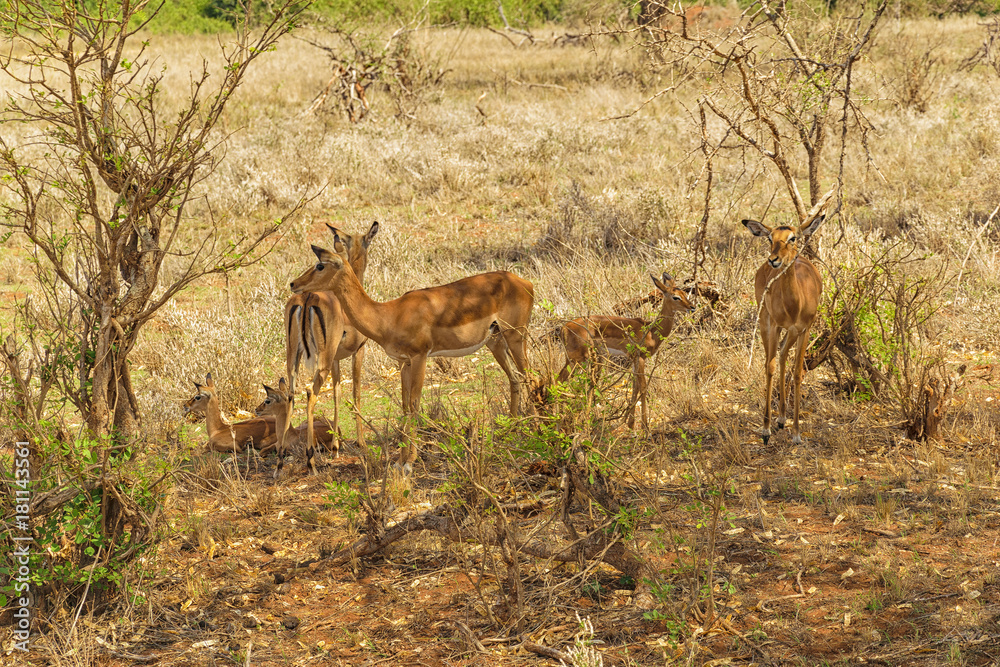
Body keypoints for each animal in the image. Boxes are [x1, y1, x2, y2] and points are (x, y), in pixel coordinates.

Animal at [282, 221, 379, 476]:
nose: (294, 283)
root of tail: (306, 299)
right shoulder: (358, 351)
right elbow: (355, 392)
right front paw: (360, 442)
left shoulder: (336, 359)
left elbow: (337, 394)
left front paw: (336, 446)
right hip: (320, 363)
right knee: (310, 394)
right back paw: (311, 460)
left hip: (293, 358)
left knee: (290, 394)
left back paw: (280, 458)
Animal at [289, 226, 534, 473]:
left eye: (320, 265)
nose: (293, 284)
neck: (388, 314)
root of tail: (523, 282)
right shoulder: (404, 361)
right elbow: (406, 406)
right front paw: (400, 460)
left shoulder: (419, 357)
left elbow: (415, 405)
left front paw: (409, 462)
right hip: (496, 341)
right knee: (515, 378)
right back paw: (511, 431)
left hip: (516, 336)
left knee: (529, 376)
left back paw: (533, 430)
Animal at [557, 273, 694, 431]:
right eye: (675, 297)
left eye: (684, 293)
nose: (692, 307)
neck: (650, 332)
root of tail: (564, 328)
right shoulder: (640, 358)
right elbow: (643, 387)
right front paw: (645, 427)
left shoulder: (634, 359)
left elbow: (634, 386)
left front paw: (630, 423)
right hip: (576, 360)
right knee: (558, 381)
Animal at [742, 191, 832, 445]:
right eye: (770, 237)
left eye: (793, 238)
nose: (774, 259)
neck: (794, 305)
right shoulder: (773, 325)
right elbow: (769, 366)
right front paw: (765, 430)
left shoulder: (805, 329)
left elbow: (798, 373)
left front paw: (796, 432)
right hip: (768, 323)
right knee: (775, 359)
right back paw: (777, 421)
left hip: (791, 332)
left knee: (783, 355)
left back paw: (783, 419)